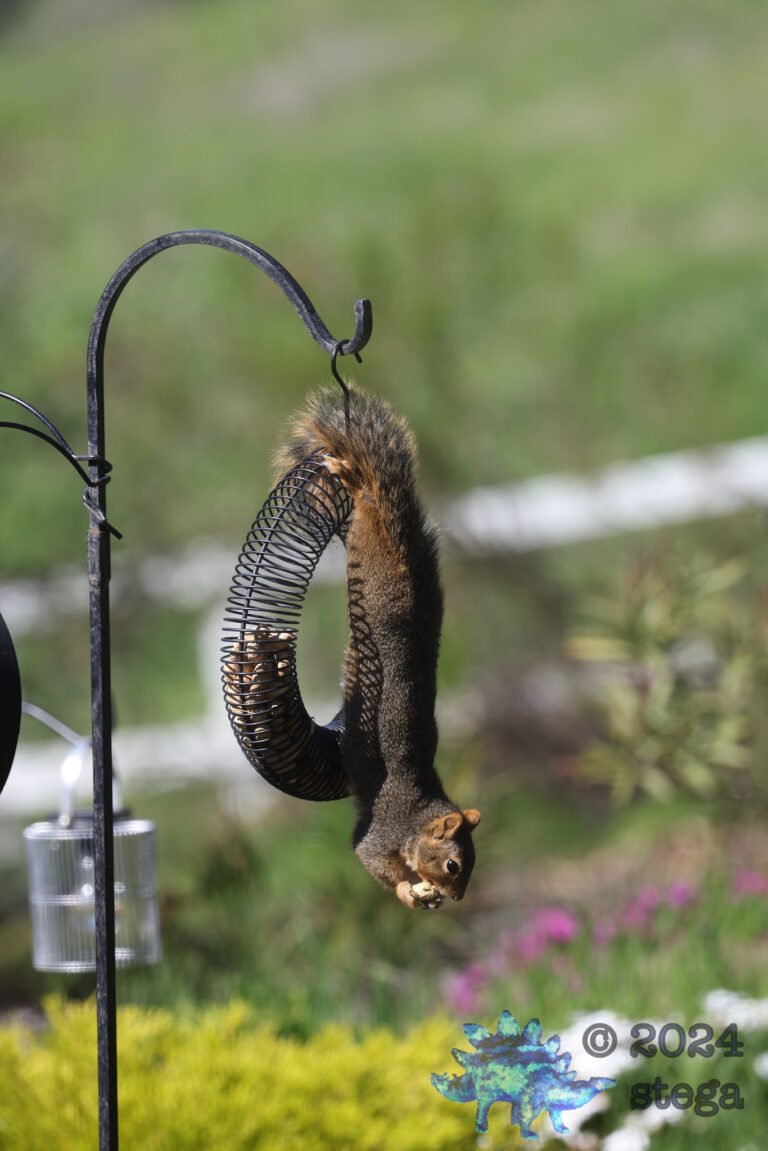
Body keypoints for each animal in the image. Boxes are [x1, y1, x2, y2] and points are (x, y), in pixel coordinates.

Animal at [275, 383, 480, 910]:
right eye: (453, 864)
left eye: (472, 865)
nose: (458, 898)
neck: (417, 814)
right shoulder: (379, 834)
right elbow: (371, 860)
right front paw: (411, 892)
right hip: (370, 557)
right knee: (368, 499)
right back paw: (351, 477)